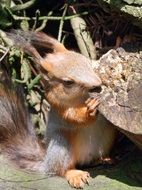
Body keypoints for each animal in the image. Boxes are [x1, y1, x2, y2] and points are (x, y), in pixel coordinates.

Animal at [0, 30, 116, 189]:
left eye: (87, 62)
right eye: (68, 82)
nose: (97, 84)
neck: (82, 97)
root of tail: (46, 163)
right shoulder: (59, 105)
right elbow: (73, 116)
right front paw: (90, 110)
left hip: (107, 139)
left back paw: (103, 159)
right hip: (61, 143)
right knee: (61, 170)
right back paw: (74, 174)